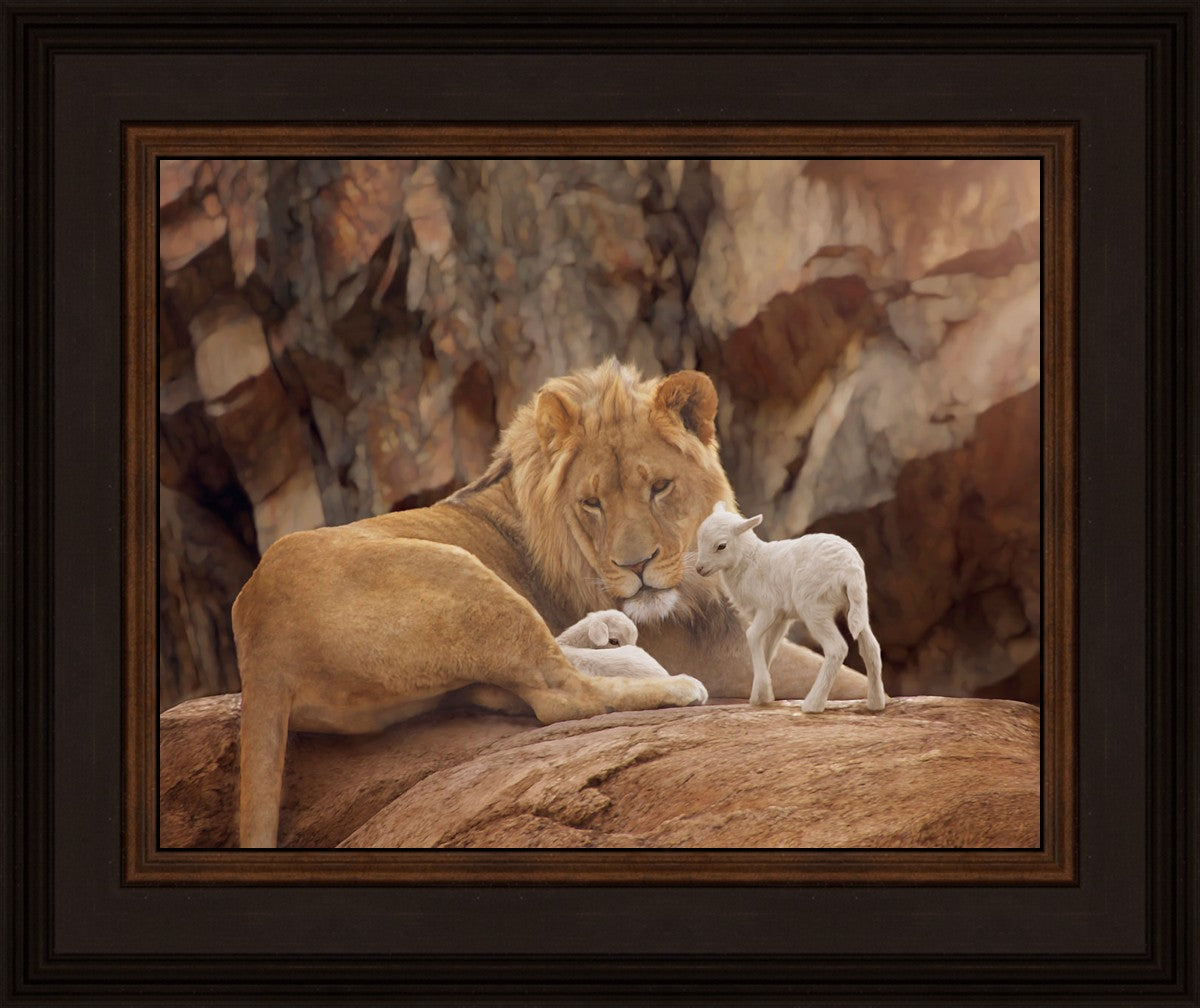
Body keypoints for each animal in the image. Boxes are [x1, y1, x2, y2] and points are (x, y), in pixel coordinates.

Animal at [694, 502, 887, 713]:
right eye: (699, 538)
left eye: (721, 546)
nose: (699, 569)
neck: (750, 561)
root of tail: (850, 568)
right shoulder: (781, 618)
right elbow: (768, 648)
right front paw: (761, 695)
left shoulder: (768, 608)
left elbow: (752, 636)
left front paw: (762, 690)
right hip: (856, 605)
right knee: (871, 647)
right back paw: (876, 703)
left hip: (814, 607)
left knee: (836, 648)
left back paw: (812, 704)